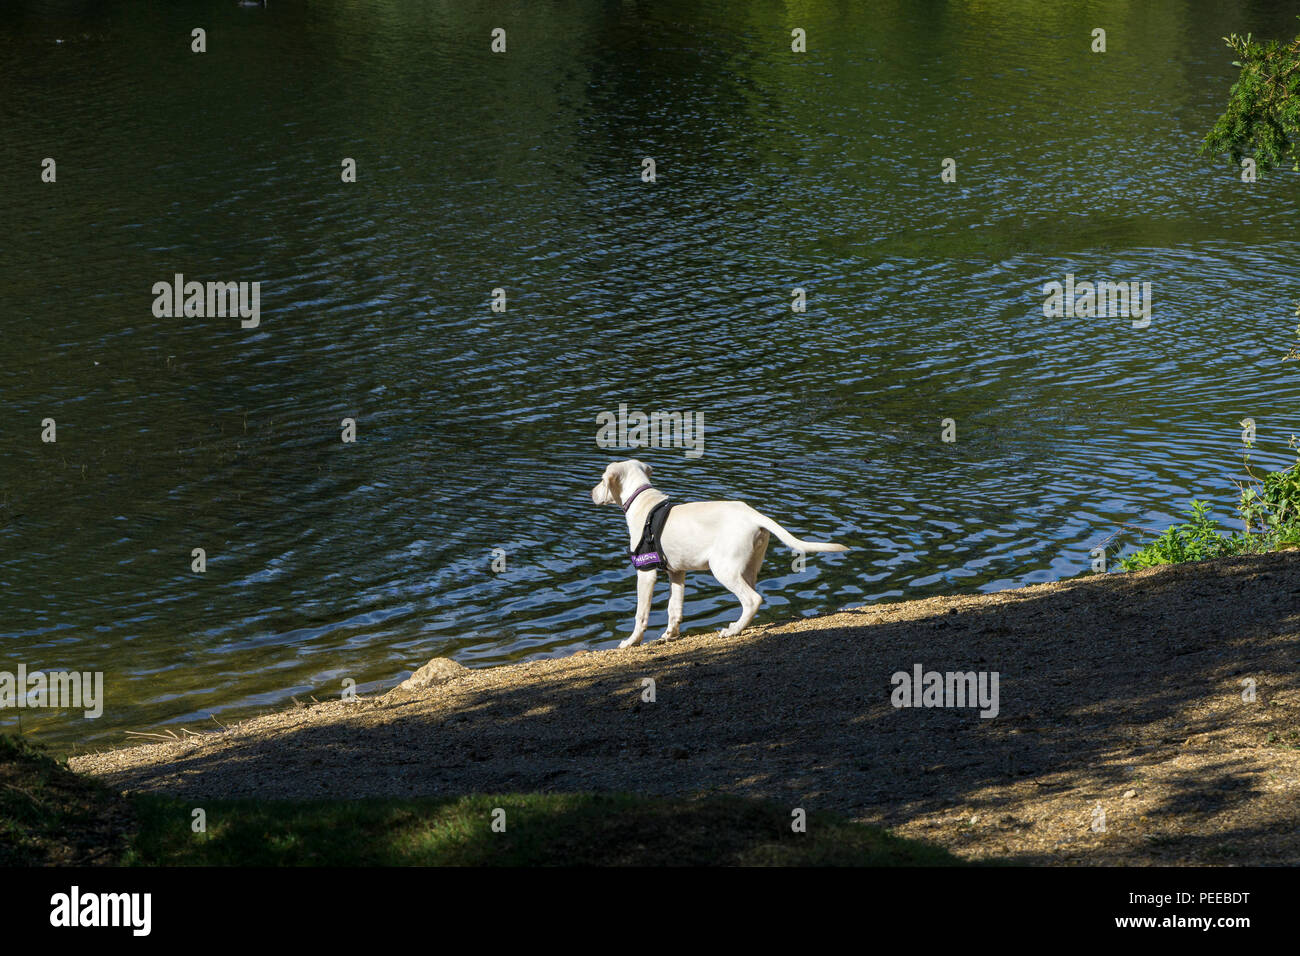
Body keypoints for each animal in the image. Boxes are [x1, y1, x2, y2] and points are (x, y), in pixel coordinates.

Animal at [592, 457, 852, 650]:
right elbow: (674, 608)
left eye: (602, 480)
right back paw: (740, 627)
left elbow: (641, 614)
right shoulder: (677, 572)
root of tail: (754, 515)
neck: (643, 502)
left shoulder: (645, 572)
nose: (591, 494)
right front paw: (669, 635)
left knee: (753, 599)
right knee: (752, 599)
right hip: (749, 567)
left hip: (723, 568)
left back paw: (732, 630)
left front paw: (630, 642)